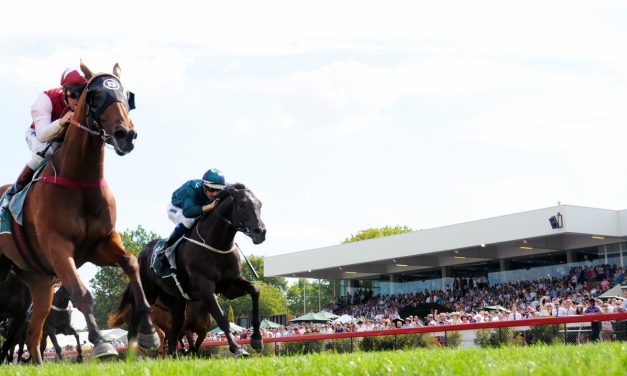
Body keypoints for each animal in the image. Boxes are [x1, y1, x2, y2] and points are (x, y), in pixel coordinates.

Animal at [0, 61, 159, 364]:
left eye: (126, 94)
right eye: (95, 95)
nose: (126, 135)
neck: (80, 178)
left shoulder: (101, 244)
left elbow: (131, 263)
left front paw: (148, 331)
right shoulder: (58, 246)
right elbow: (80, 292)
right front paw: (101, 343)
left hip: (37, 281)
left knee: (34, 331)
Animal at [111, 184, 266, 356]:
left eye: (260, 204)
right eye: (242, 205)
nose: (260, 232)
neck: (216, 244)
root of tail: (142, 253)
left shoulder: (229, 285)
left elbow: (255, 289)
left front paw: (257, 339)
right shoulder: (205, 288)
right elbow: (221, 316)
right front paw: (237, 348)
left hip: (176, 300)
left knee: (174, 330)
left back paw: (174, 354)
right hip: (147, 292)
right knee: (135, 322)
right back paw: (135, 353)